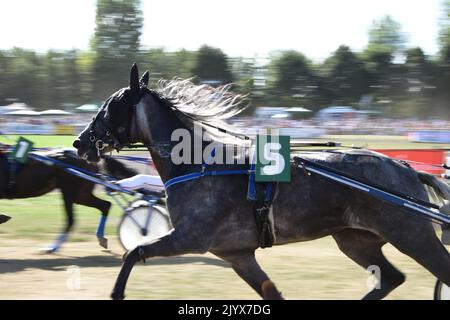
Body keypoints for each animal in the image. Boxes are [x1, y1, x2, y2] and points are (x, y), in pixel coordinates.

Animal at [0, 148, 135, 252]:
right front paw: (3, 217)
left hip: (70, 192)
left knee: (71, 220)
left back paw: (53, 247)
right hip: (80, 195)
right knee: (105, 205)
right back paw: (100, 238)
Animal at [74, 64, 450, 300]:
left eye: (109, 106)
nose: (80, 142)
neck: (201, 165)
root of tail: (405, 168)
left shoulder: (190, 237)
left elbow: (134, 252)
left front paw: (117, 291)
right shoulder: (237, 253)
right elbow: (271, 292)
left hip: (410, 233)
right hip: (355, 239)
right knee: (391, 277)